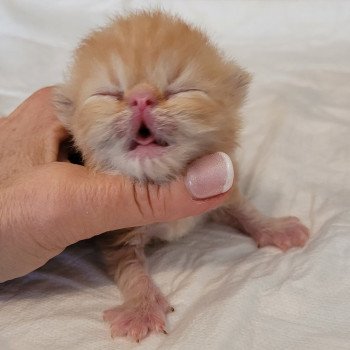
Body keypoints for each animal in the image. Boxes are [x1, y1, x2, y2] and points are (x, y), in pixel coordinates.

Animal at [53, 10, 308, 342]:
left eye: (181, 90)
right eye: (109, 94)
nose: (141, 98)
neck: (165, 179)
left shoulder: (221, 187)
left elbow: (245, 209)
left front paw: (275, 227)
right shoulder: (118, 231)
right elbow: (131, 268)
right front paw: (141, 308)